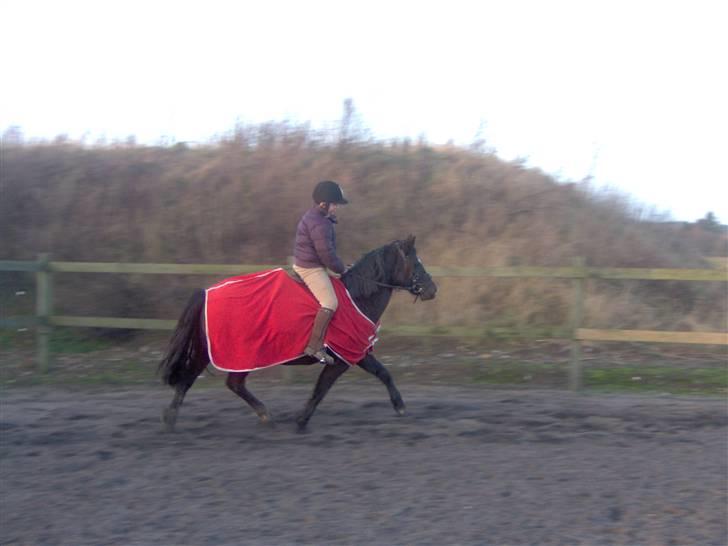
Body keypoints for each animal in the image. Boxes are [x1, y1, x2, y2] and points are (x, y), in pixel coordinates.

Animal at [156, 234, 436, 430]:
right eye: (415, 262)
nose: (433, 289)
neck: (357, 297)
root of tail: (205, 293)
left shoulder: (358, 354)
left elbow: (383, 373)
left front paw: (399, 406)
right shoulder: (342, 358)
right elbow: (321, 389)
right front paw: (301, 420)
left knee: (229, 384)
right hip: (230, 352)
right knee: (194, 381)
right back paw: (171, 420)